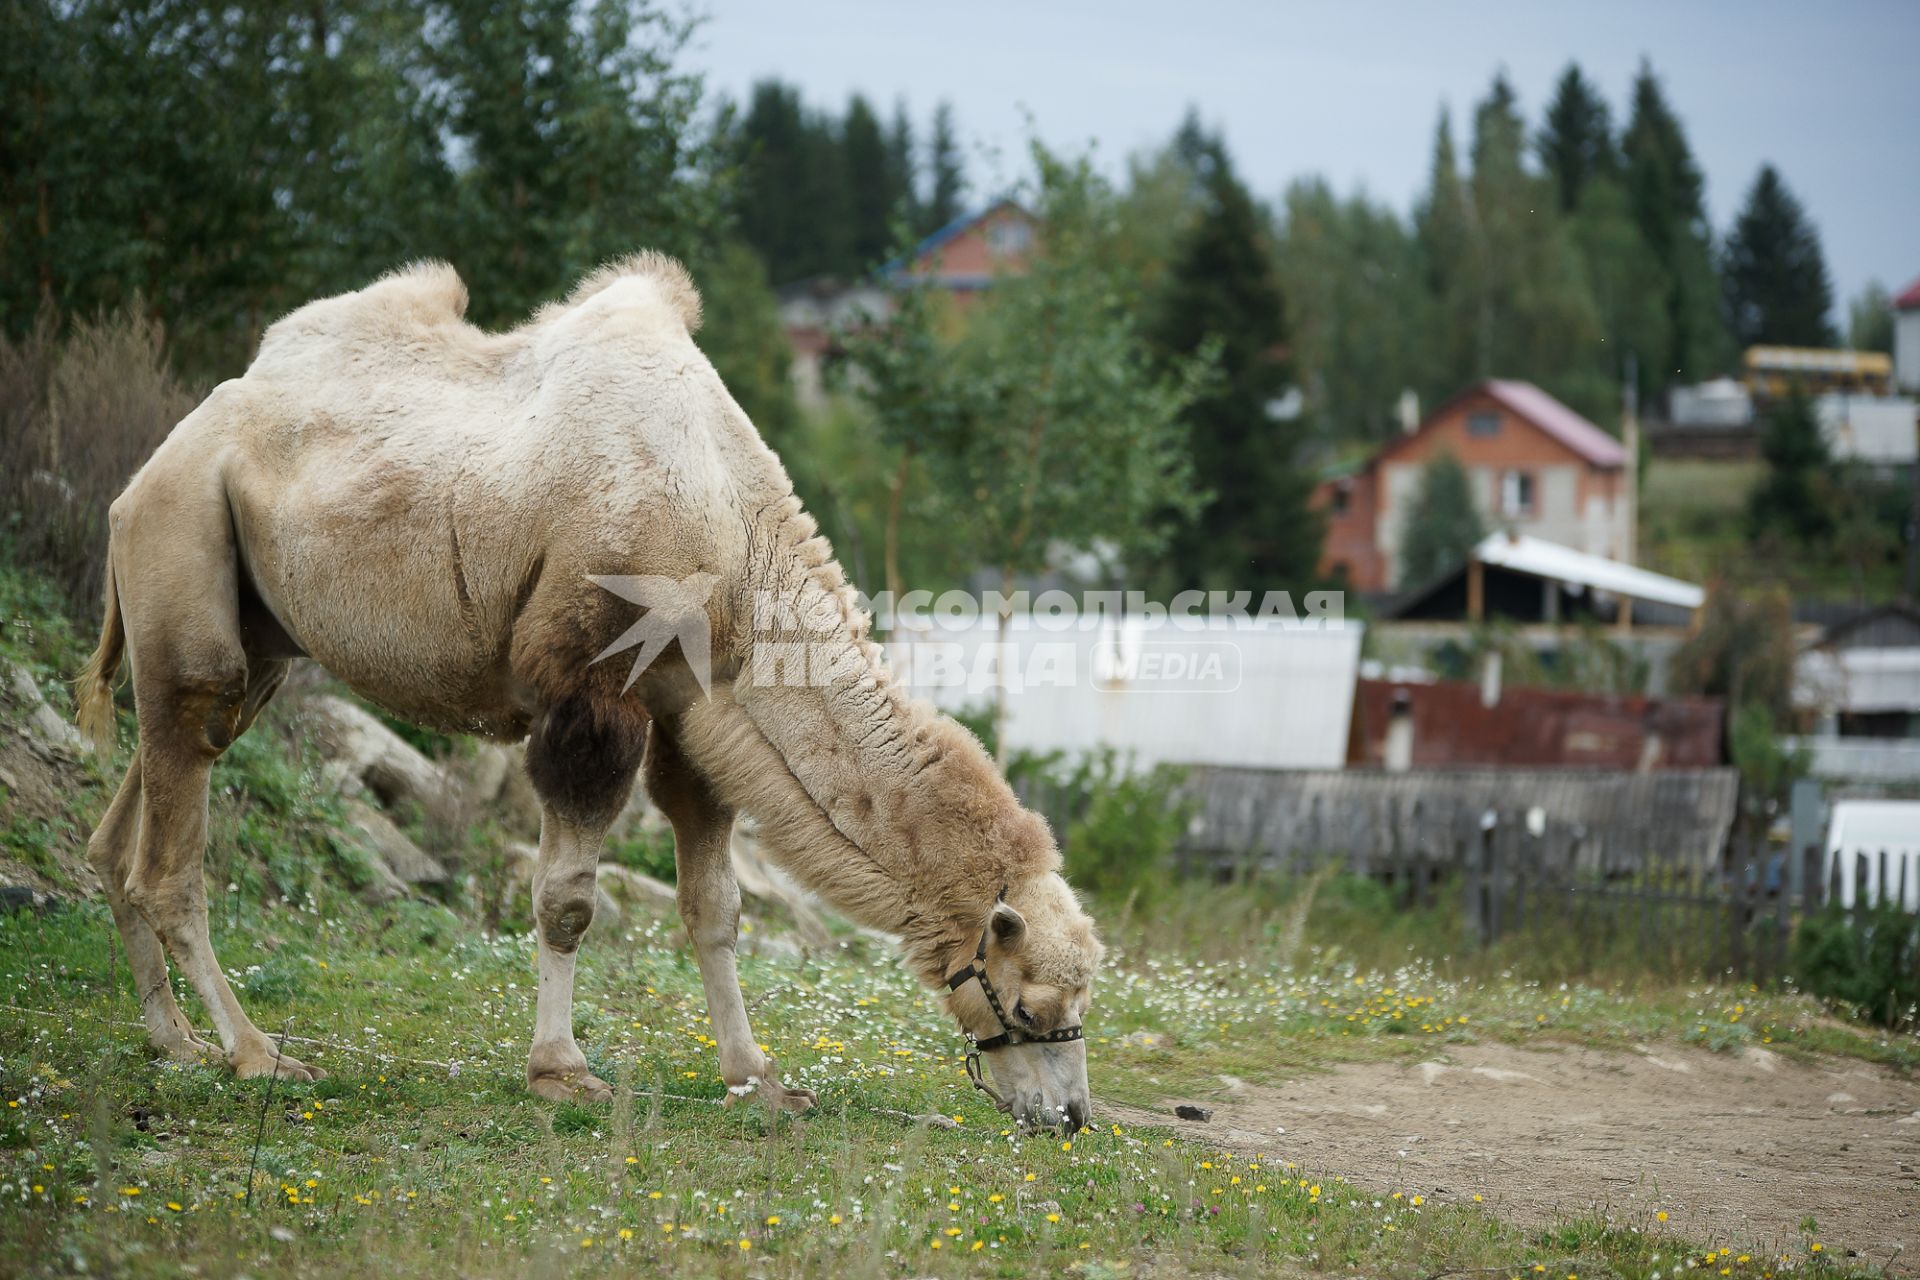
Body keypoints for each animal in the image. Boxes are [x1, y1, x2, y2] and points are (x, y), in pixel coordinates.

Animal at [74, 249, 1105, 1128]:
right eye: (1032, 1002)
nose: (1070, 1116)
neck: (732, 542)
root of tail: (147, 470)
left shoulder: (697, 715)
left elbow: (715, 909)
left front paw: (758, 1079)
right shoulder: (591, 689)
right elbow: (568, 899)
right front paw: (562, 1071)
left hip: (257, 634)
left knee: (132, 817)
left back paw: (174, 1043)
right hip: (184, 546)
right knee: (174, 839)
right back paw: (254, 1054)